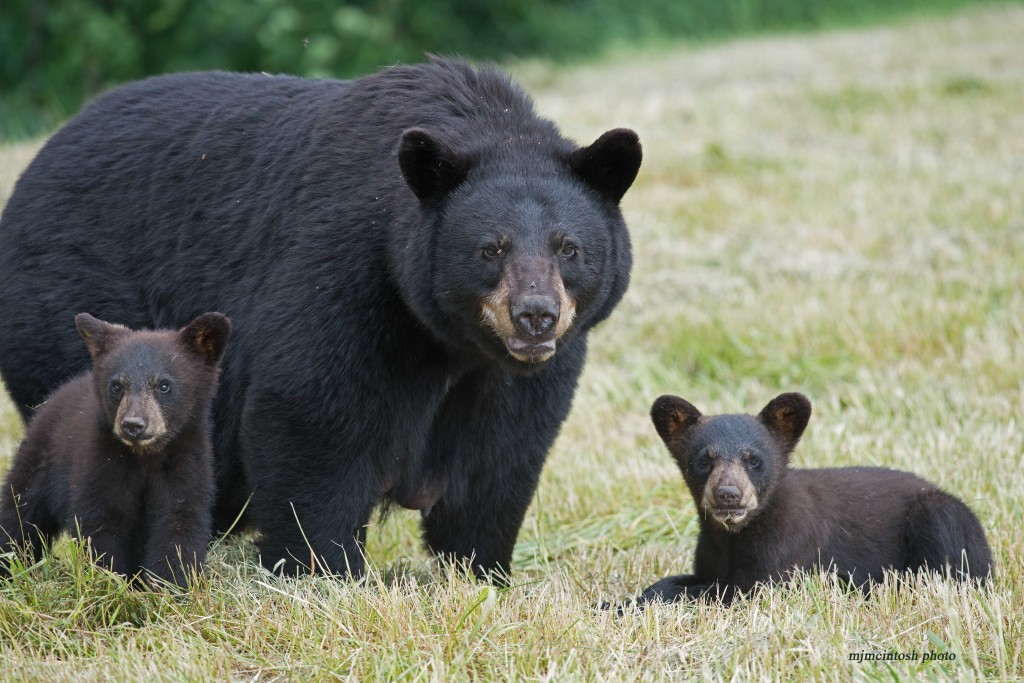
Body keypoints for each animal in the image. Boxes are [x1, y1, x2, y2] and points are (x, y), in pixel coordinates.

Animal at [0, 315, 228, 589]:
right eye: (117, 385)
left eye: (164, 385)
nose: (133, 424)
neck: (145, 458)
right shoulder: (102, 464)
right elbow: (101, 524)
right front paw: (110, 584)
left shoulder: (187, 464)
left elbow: (178, 523)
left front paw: (170, 587)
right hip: (39, 461)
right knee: (19, 513)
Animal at [630, 393, 991, 606]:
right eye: (703, 460)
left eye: (754, 460)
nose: (728, 495)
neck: (732, 535)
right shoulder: (710, 556)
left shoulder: (786, 548)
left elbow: (737, 589)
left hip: (941, 515)